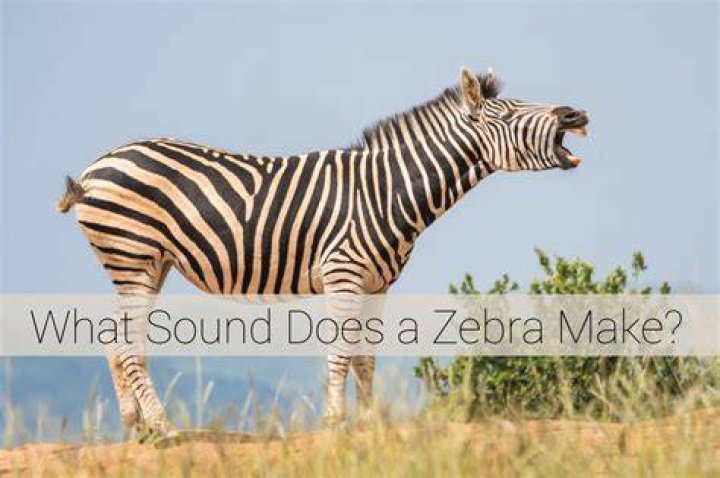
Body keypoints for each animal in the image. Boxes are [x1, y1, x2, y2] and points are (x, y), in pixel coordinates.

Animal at [57, 66, 588, 438]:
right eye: (511, 113)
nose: (575, 115)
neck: (387, 191)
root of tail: (95, 167)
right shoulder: (343, 273)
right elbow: (340, 352)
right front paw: (335, 423)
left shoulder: (378, 284)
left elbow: (366, 357)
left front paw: (370, 424)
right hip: (132, 254)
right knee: (126, 344)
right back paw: (165, 429)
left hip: (149, 262)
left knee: (117, 340)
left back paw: (137, 428)